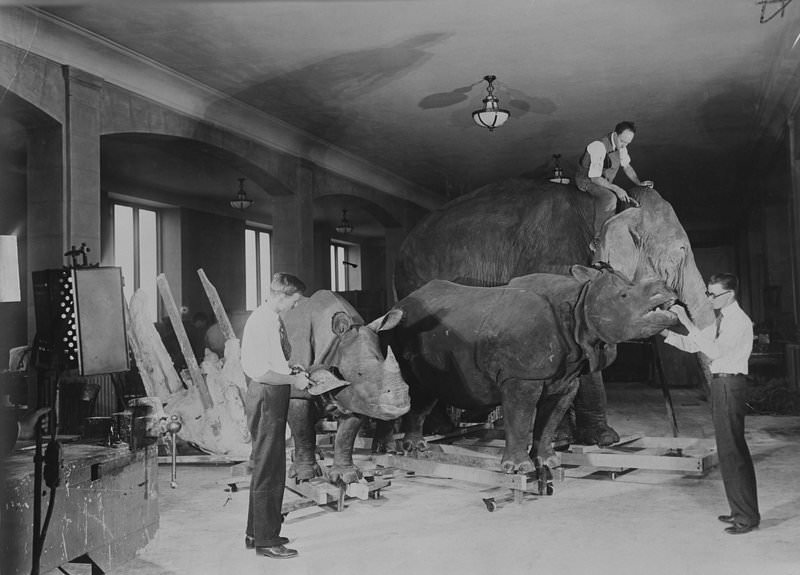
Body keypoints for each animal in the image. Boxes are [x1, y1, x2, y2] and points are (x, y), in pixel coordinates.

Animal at [282, 290, 410, 484]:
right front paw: (304, 475)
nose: (400, 399)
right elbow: (302, 428)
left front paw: (346, 475)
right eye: (359, 374)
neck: (333, 345)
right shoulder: (298, 390)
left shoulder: (356, 398)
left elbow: (346, 436)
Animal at [384, 266, 680, 472]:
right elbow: (521, 418)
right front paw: (518, 469)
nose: (667, 289)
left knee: (427, 388)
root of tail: (400, 302)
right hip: (399, 325)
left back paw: (420, 444)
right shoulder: (521, 377)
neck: (580, 303)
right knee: (409, 384)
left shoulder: (566, 378)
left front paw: (549, 462)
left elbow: (549, 420)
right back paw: (408, 448)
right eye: (624, 296)